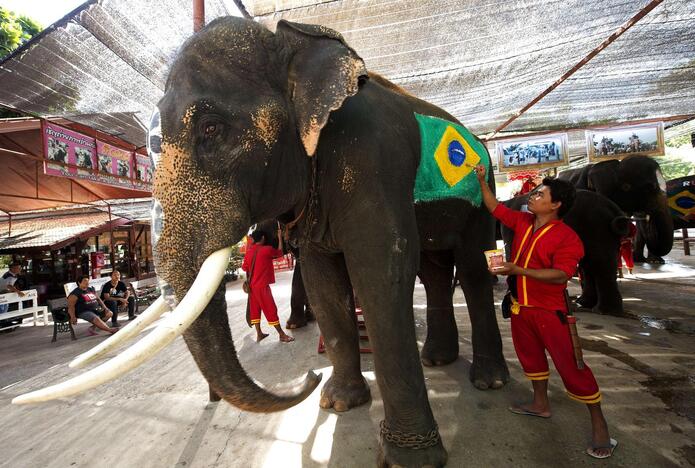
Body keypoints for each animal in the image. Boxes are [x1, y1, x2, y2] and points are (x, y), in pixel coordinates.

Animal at [147, 16, 512, 466]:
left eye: (211, 129)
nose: (309, 377)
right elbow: (323, 280)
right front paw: (339, 403)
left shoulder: (373, 157)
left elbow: (381, 270)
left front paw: (409, 459)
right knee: (436, 272)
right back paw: (437, 358)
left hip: (482, 192)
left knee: (474, 268)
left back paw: (490, 381)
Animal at [500, 189, 632, 314]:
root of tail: (616, 211)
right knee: (589, 265)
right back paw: (584, 303)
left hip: (598, 230)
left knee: (600, 265)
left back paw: (603, 310)